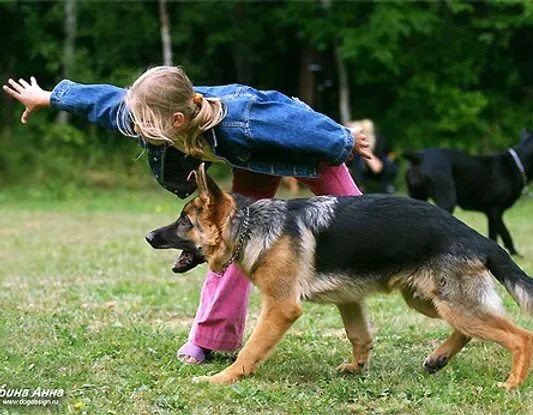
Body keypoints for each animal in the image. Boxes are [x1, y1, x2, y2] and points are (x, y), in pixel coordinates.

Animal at [145, 165, 532, 390]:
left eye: (184, 221)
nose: (148, 236)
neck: (251, 225)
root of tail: (477, 237)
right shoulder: (349, 299)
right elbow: (359, 336)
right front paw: (358, 367)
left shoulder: (281, 308)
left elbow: (251, 349)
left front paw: (221, 379)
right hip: (428, 300)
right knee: (468, 331)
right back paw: (439, 358)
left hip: (452, 303)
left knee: (520, 336)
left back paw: (512, 384)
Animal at [404, 130, 532, 256]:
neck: (517, 165)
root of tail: (419, 156)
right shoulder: (495, 210)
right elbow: (505, 233)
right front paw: (515, 253)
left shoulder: (491, 214)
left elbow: (494, 234)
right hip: (447, 198)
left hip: (417, 195)